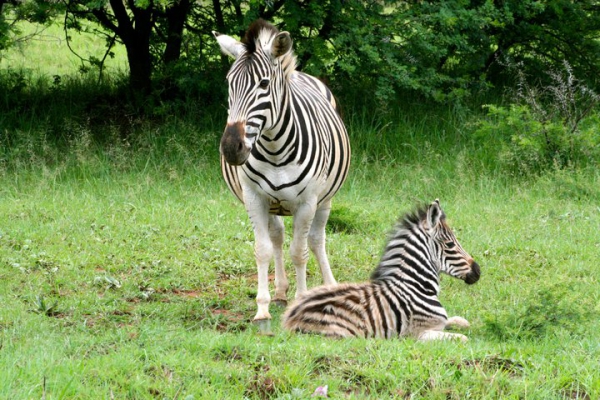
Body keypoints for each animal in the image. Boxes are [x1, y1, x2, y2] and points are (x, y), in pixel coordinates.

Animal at [213, 19, 352, 332]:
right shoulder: (254, 198)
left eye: (263, 84)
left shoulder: (307, 202)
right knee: (277, 237)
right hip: (273, 203)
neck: (274, 147)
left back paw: (328, 285)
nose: (231, 148)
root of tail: (299, 73)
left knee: (316, 240)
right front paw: (262, 309)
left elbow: (299, 251)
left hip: (325, 200)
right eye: (228, 83)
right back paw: (279, 291)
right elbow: (263, 249)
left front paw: (301, 300)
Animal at [282, 200, 482, 340]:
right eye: (450, 245)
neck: (416, 286)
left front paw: (462, 322)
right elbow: (462, 339)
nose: (478, 271)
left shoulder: (440, 323)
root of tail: (291, 317)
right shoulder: (418, 334)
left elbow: (460, 321)